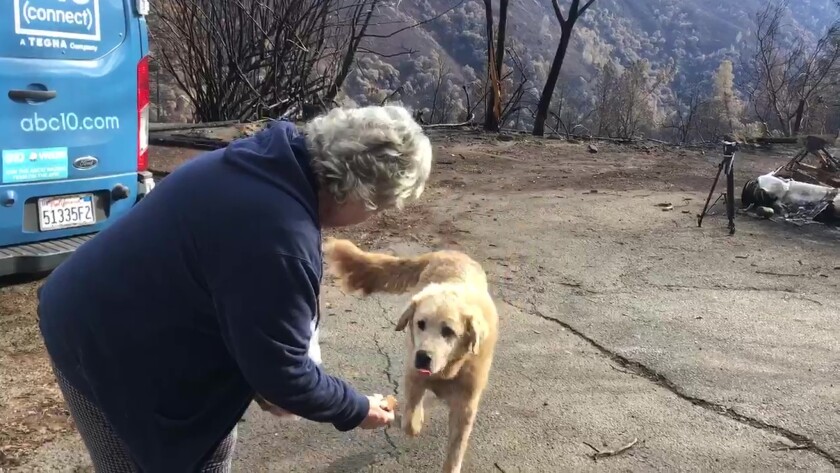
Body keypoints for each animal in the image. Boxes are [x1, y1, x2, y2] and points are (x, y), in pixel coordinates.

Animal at [320, 240, 492, 472]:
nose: (423, 357)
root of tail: (447, 253)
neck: (447, 371)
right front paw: (414, 421)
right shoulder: (414, 377)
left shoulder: (465, 405)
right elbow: (410, 421)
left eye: (448, 331)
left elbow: (456, 449)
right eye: (420, 324)